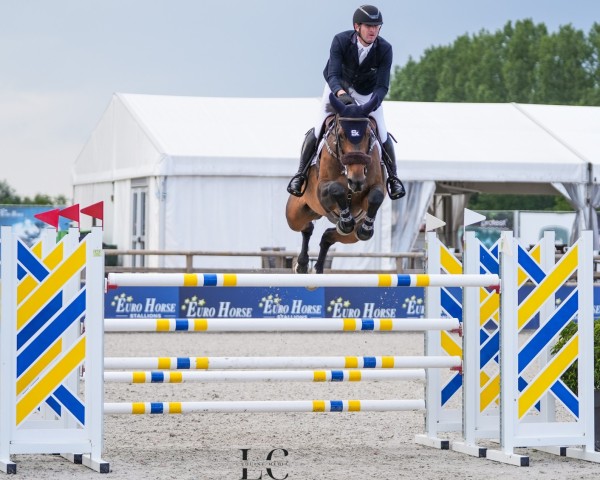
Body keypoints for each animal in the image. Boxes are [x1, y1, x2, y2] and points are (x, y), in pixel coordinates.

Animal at [284, 93, 386, 274]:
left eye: (368, 135)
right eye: (341, 135)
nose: (356, 180)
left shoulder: (373, 188)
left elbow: (376, 196)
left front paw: (365, 228)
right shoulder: (322, 191)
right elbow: (336, 188)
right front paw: (345, 219)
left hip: (350, 236)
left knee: (329, 235)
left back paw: (318, 267)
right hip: (295, 214)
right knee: (306, 227)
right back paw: (302, 264)